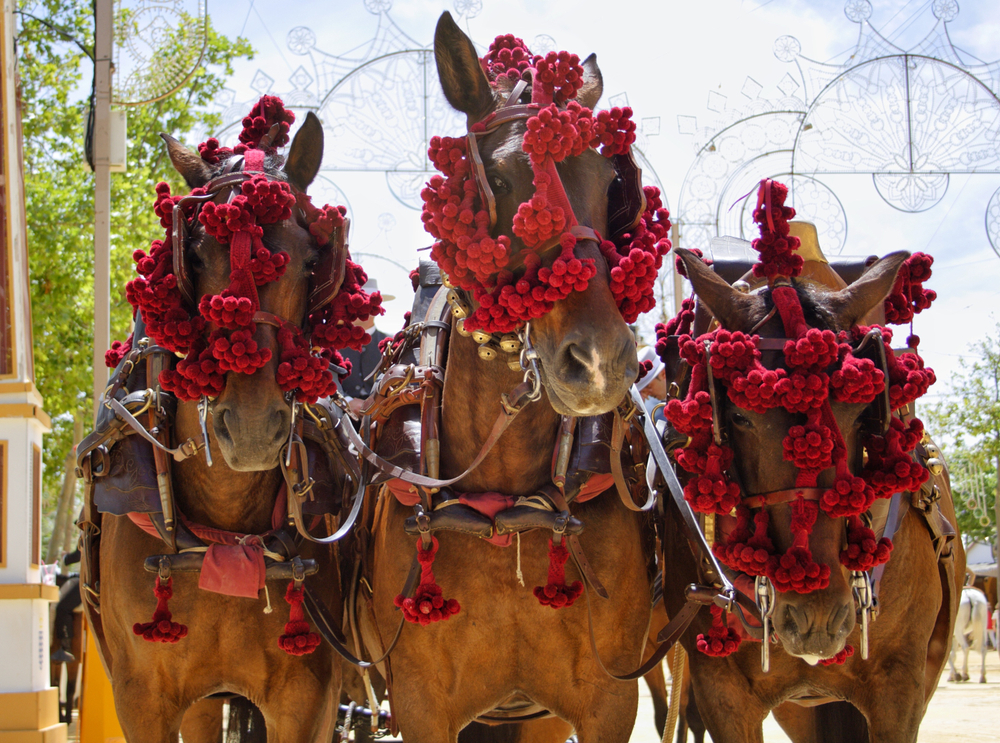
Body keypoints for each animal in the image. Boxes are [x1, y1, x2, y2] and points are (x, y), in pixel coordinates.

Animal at [78, 115, 352, 743]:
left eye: (310, 262)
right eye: (197, 256)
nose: (251, 431)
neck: (224, 531)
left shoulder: (310, 700)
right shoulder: (141, 700)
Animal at [356, 13, 652, 743]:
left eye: (610, 182)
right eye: (498, 176)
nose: (600, 361)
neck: (503, 503)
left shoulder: (608, 702)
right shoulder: (420, 704)